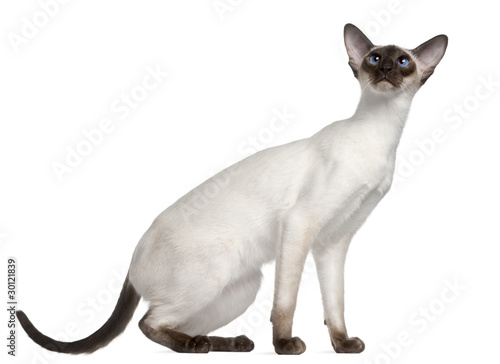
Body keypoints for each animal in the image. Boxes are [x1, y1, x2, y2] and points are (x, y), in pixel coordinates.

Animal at [15, 23, 448, 356]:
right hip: (214, 273)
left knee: (179, 322)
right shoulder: (301, 226)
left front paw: (343, 346)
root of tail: (133, 258)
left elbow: (335, 304)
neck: (380, 134)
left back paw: (228, 343)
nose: (387, 68)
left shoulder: (334, 242)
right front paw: (285, 345)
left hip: (240, 288)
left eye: (403, 62)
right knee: (149, 322)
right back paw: (196, 347)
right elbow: (287, 302)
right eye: (374, 59)